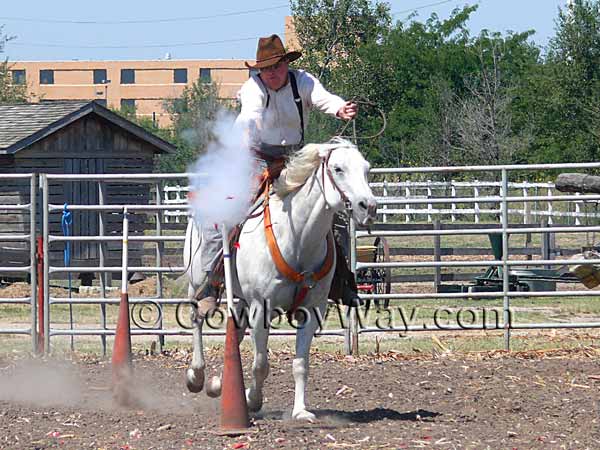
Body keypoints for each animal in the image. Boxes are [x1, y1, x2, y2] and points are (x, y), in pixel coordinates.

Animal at [183, 138, 378, 422]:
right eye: (338, 168)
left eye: (366, 169)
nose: (369, 206)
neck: (297, 238)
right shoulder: (260, 308)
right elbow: (261, 363)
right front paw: (252, 400)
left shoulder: (312, 310)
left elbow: (300, 364)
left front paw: (300, 411)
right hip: (197, 282)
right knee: (197, 318)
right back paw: (196, 376)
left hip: (241, 300)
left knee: (235, 332)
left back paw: (218, 383)